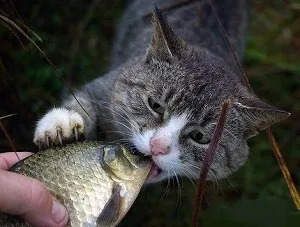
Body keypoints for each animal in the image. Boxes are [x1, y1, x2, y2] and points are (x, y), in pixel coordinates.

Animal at [32, 0, 288, 184]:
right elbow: (83, 99)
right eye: (155, 105)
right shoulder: (104, 87)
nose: (158, 146)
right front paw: (61, 124)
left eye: (200, 137)